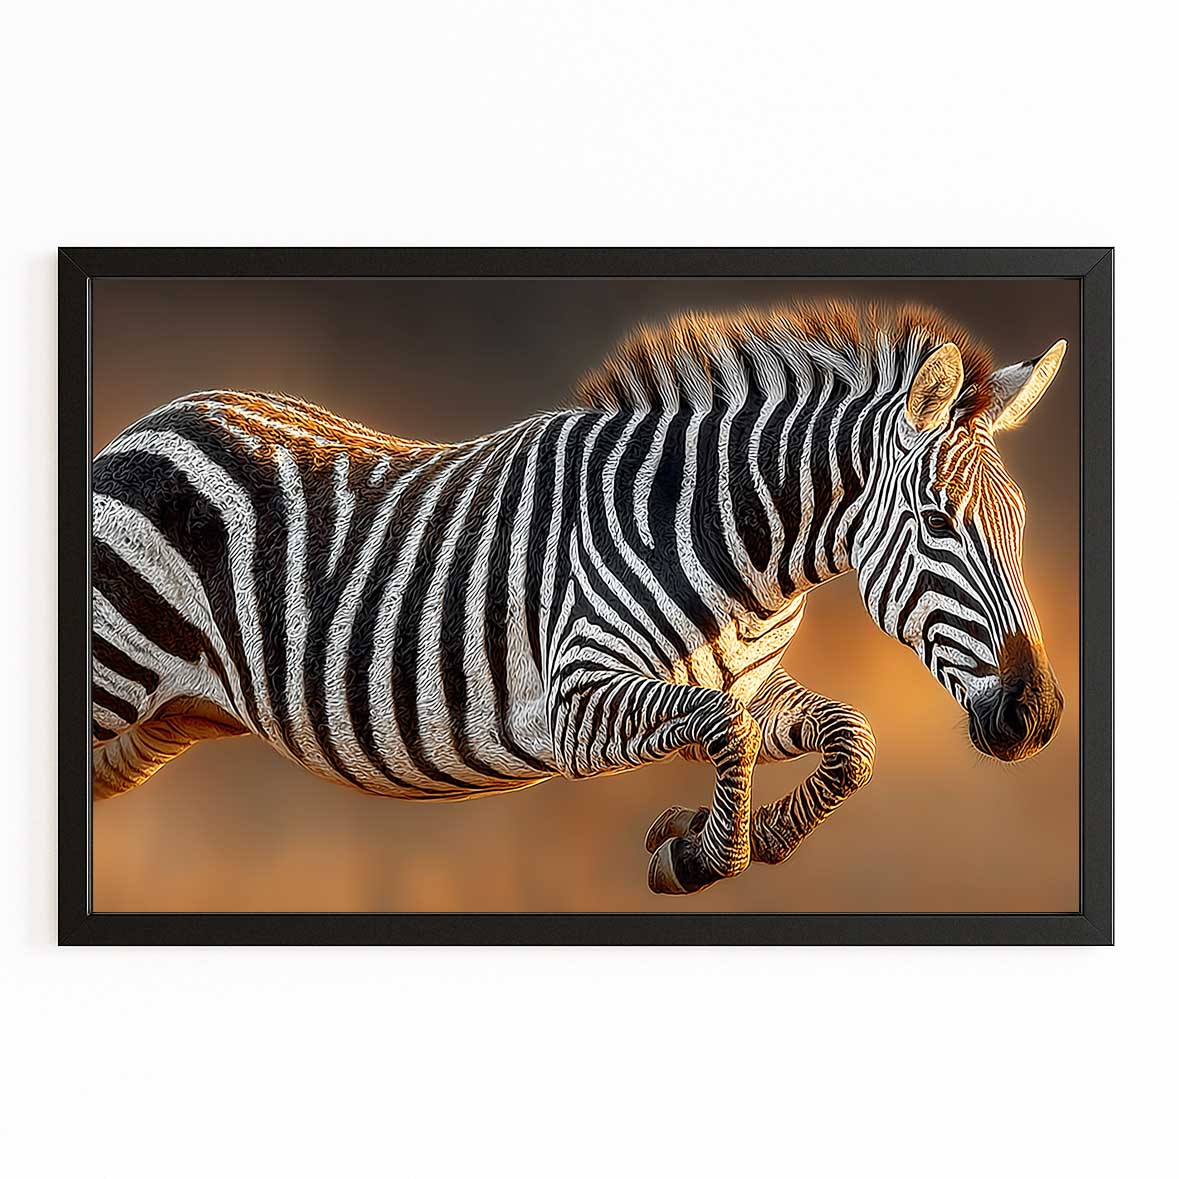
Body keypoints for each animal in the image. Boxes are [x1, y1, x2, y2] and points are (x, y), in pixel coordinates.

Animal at [91, 300, 1066, 895]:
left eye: (1018, 524)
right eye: (937, 523)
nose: (1039, 716)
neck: (730, 547)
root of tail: (154, 417)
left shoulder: (744, 678)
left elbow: (847, 739)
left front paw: (740, 835)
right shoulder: (574, 705)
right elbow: (730, 731)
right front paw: (702, 852)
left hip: (162, 721)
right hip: (110, 686)